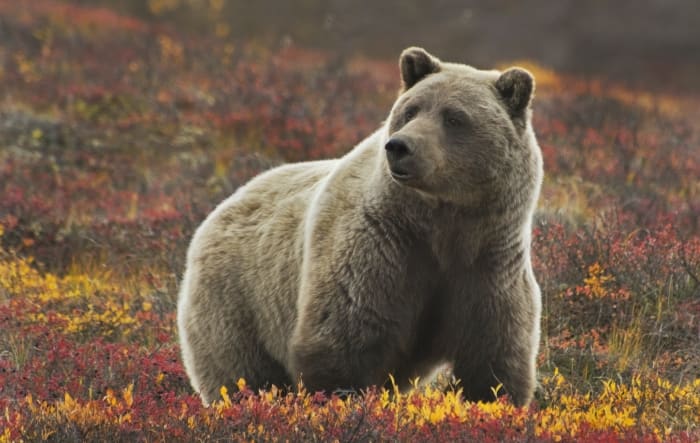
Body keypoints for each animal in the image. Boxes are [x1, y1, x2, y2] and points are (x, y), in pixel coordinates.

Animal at [178, 47, 544, 406]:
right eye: (410, 110)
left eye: (454, 117)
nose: (399, 146)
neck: (442, 224)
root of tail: (224, 205)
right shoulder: (380, 249)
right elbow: (342, 342)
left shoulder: (487, 264)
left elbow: (493, 358)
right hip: (237, 301)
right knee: (242, 373)